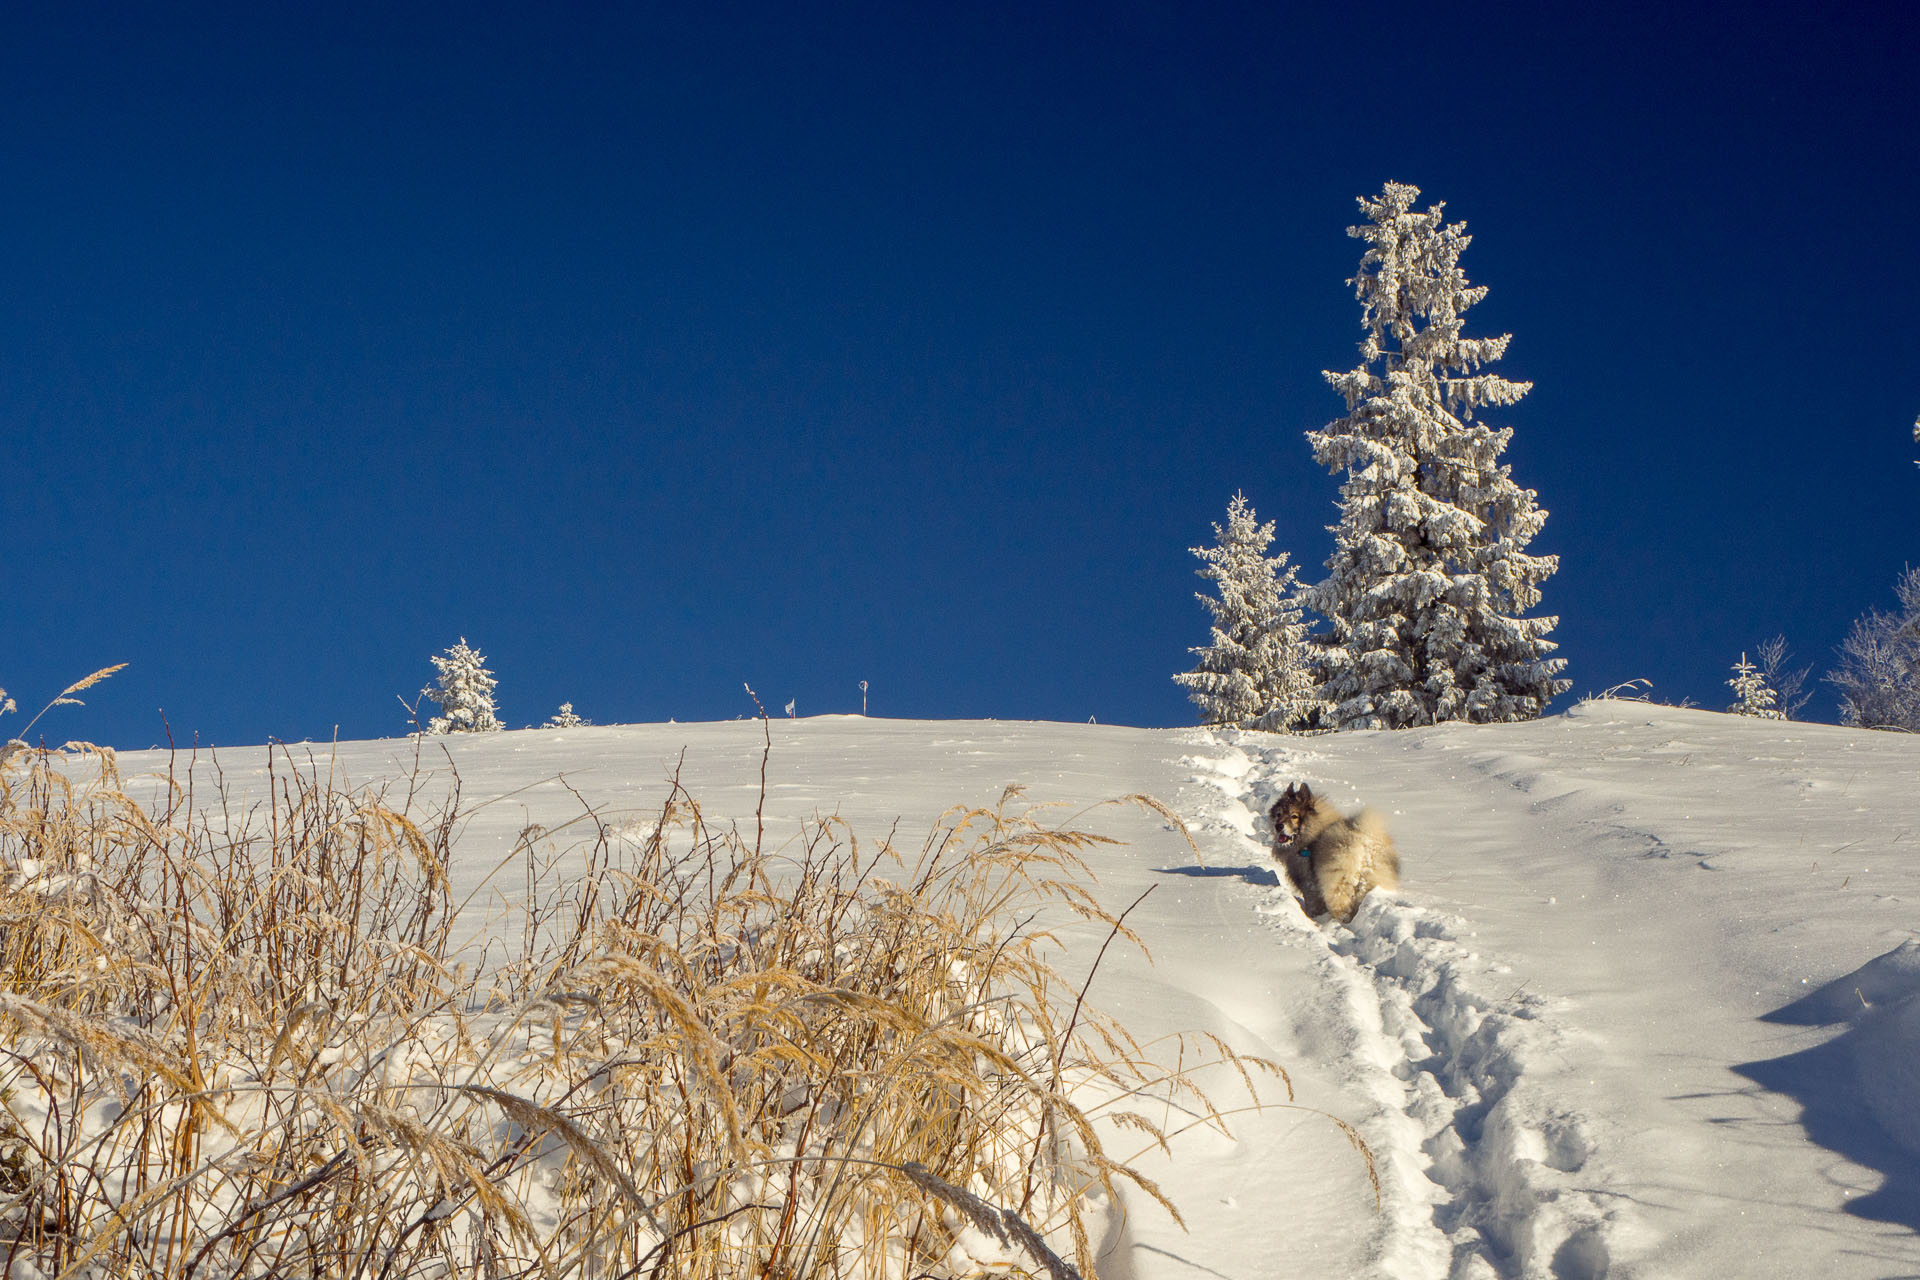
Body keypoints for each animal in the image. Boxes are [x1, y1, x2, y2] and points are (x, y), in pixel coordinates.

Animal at [1267, 782, 1405, 921]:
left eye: (1294, 816)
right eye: (1278, 814)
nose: (1278, 826)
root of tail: (1363, 845)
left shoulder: (1310, 884)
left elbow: (1312, 903)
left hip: (1337, 888)